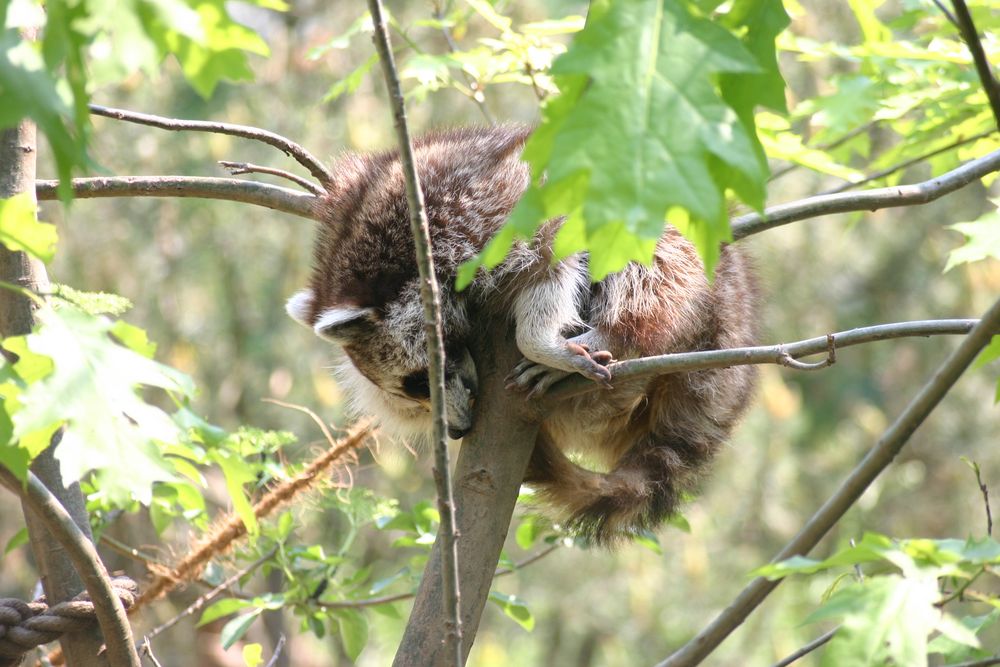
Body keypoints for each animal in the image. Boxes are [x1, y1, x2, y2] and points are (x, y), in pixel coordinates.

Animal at [286, 126, 752, 548]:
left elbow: (553, 256)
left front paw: (540, 339)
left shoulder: (496, 211)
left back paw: (617, 336)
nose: (456, 431)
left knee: (654, 271)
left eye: (419, 381)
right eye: (414, 393)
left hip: (693, 273)